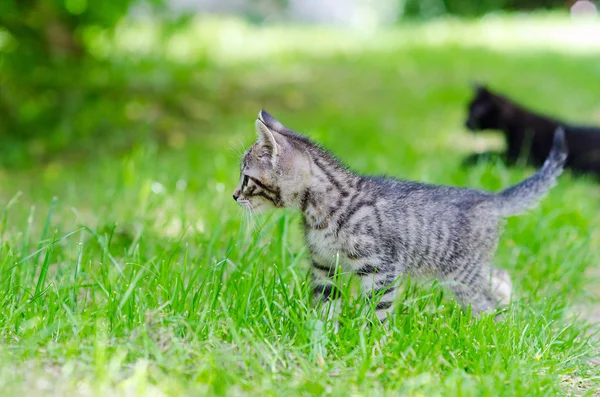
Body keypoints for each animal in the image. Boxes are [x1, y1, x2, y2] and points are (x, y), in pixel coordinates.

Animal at [233, 109, 568, 322]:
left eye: (247, 179)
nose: (234, 195)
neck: (322, 209)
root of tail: (490, 197)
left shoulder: (380, 268)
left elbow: (379, 310)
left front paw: (371, 343)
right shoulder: (324, 266)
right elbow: (324, 303)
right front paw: (322, 336)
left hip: (462, 273)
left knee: (485, 301)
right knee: (499, 277)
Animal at [464, 84, 600, 176]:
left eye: (475, 112)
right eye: (467, 109)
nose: (465, 123)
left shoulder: (520, 156)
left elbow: (491, 153)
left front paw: (468, 159)